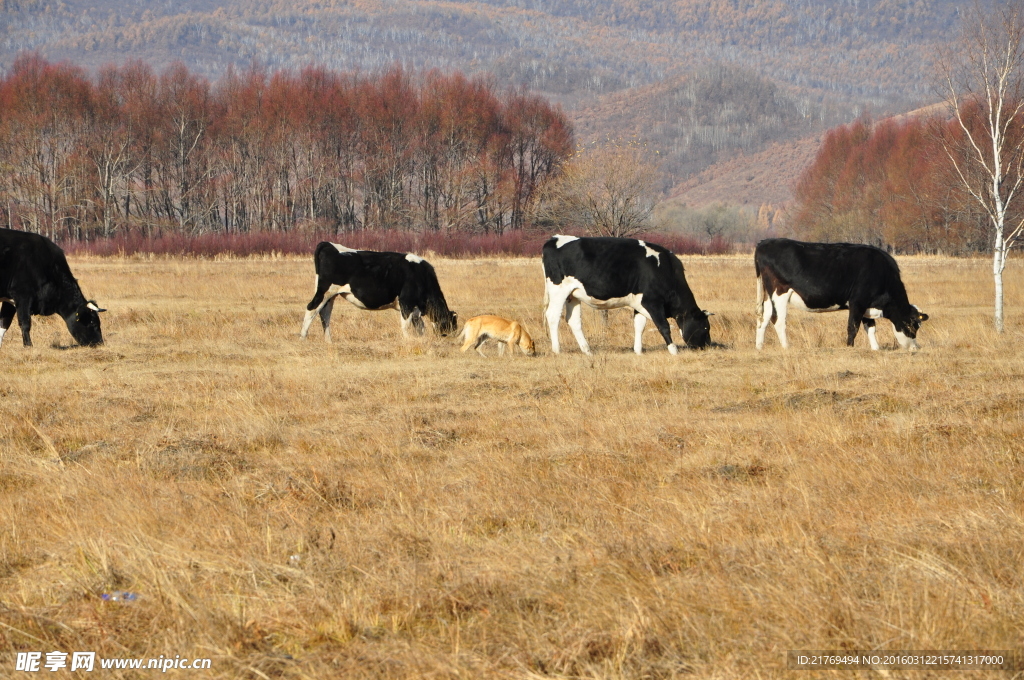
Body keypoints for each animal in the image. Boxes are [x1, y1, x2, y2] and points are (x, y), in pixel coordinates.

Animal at [296, 241, 456, 342]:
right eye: (450, 327)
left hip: (331, 295)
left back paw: (328, 340)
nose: (450, 340)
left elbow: (420, 327)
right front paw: (408, 340)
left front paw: (419, 339)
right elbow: (405, 325)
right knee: (312, 308)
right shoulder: (407, 302)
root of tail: (328, 245)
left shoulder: (415, 309)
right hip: (325, 291)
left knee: (324, 313)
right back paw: (303, 337)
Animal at [544, 235, 712, 356]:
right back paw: (557, 350)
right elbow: (663, 326)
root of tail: (554, 239)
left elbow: (639, 326)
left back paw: (587, 351)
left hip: (573, 296)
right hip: (558, 291)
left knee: (573, 320)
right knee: (553, 316)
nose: (708, 345)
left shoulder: (639, 303)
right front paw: (673, 350)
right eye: (705, 327)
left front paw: (638, 351)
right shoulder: (652, 302)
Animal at [753, 237, 929, 350]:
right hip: (779, 292)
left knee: (763, 318)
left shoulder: (867, 305)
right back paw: (786, 347)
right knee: (777, 319)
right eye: (913, 325)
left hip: (768, 295)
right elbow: (853, 326)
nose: (915, 348)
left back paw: (759, 347)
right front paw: (849, 347)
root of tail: (764, 242)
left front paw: (875, 348)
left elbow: (870, 328)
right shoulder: (858, 301)